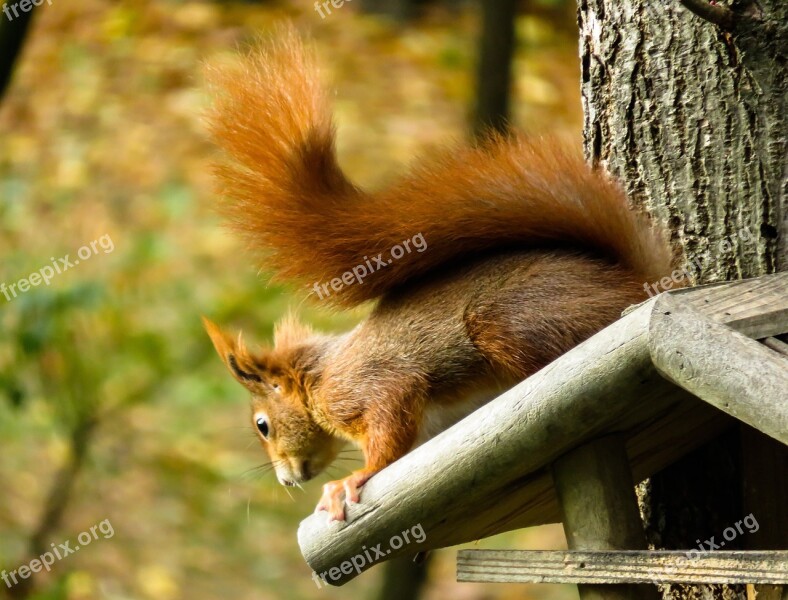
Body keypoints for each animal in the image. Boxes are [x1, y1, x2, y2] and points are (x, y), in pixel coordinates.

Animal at [200, 25, 676, 520]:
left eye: (263, 425)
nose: (287, 479)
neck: (318, 376)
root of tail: (636, 282)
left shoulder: (365, 386)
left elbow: (389, 424)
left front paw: (354, 478)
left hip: (512, 319)